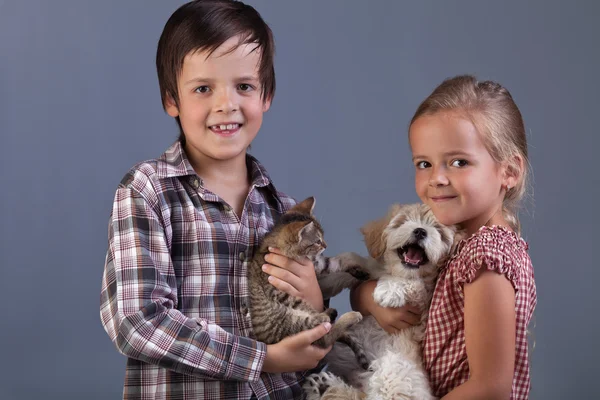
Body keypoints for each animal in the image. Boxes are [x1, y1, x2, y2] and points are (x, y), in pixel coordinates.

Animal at [247, 198, 366, 352]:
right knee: (324, 338)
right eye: (317, 241)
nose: (326, 245)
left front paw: (359, 264)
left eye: (323, 237)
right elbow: (302, 302)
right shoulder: (278, 291)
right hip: (290, 322)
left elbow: (334, 262)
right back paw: (342, 316)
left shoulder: (316, 263)